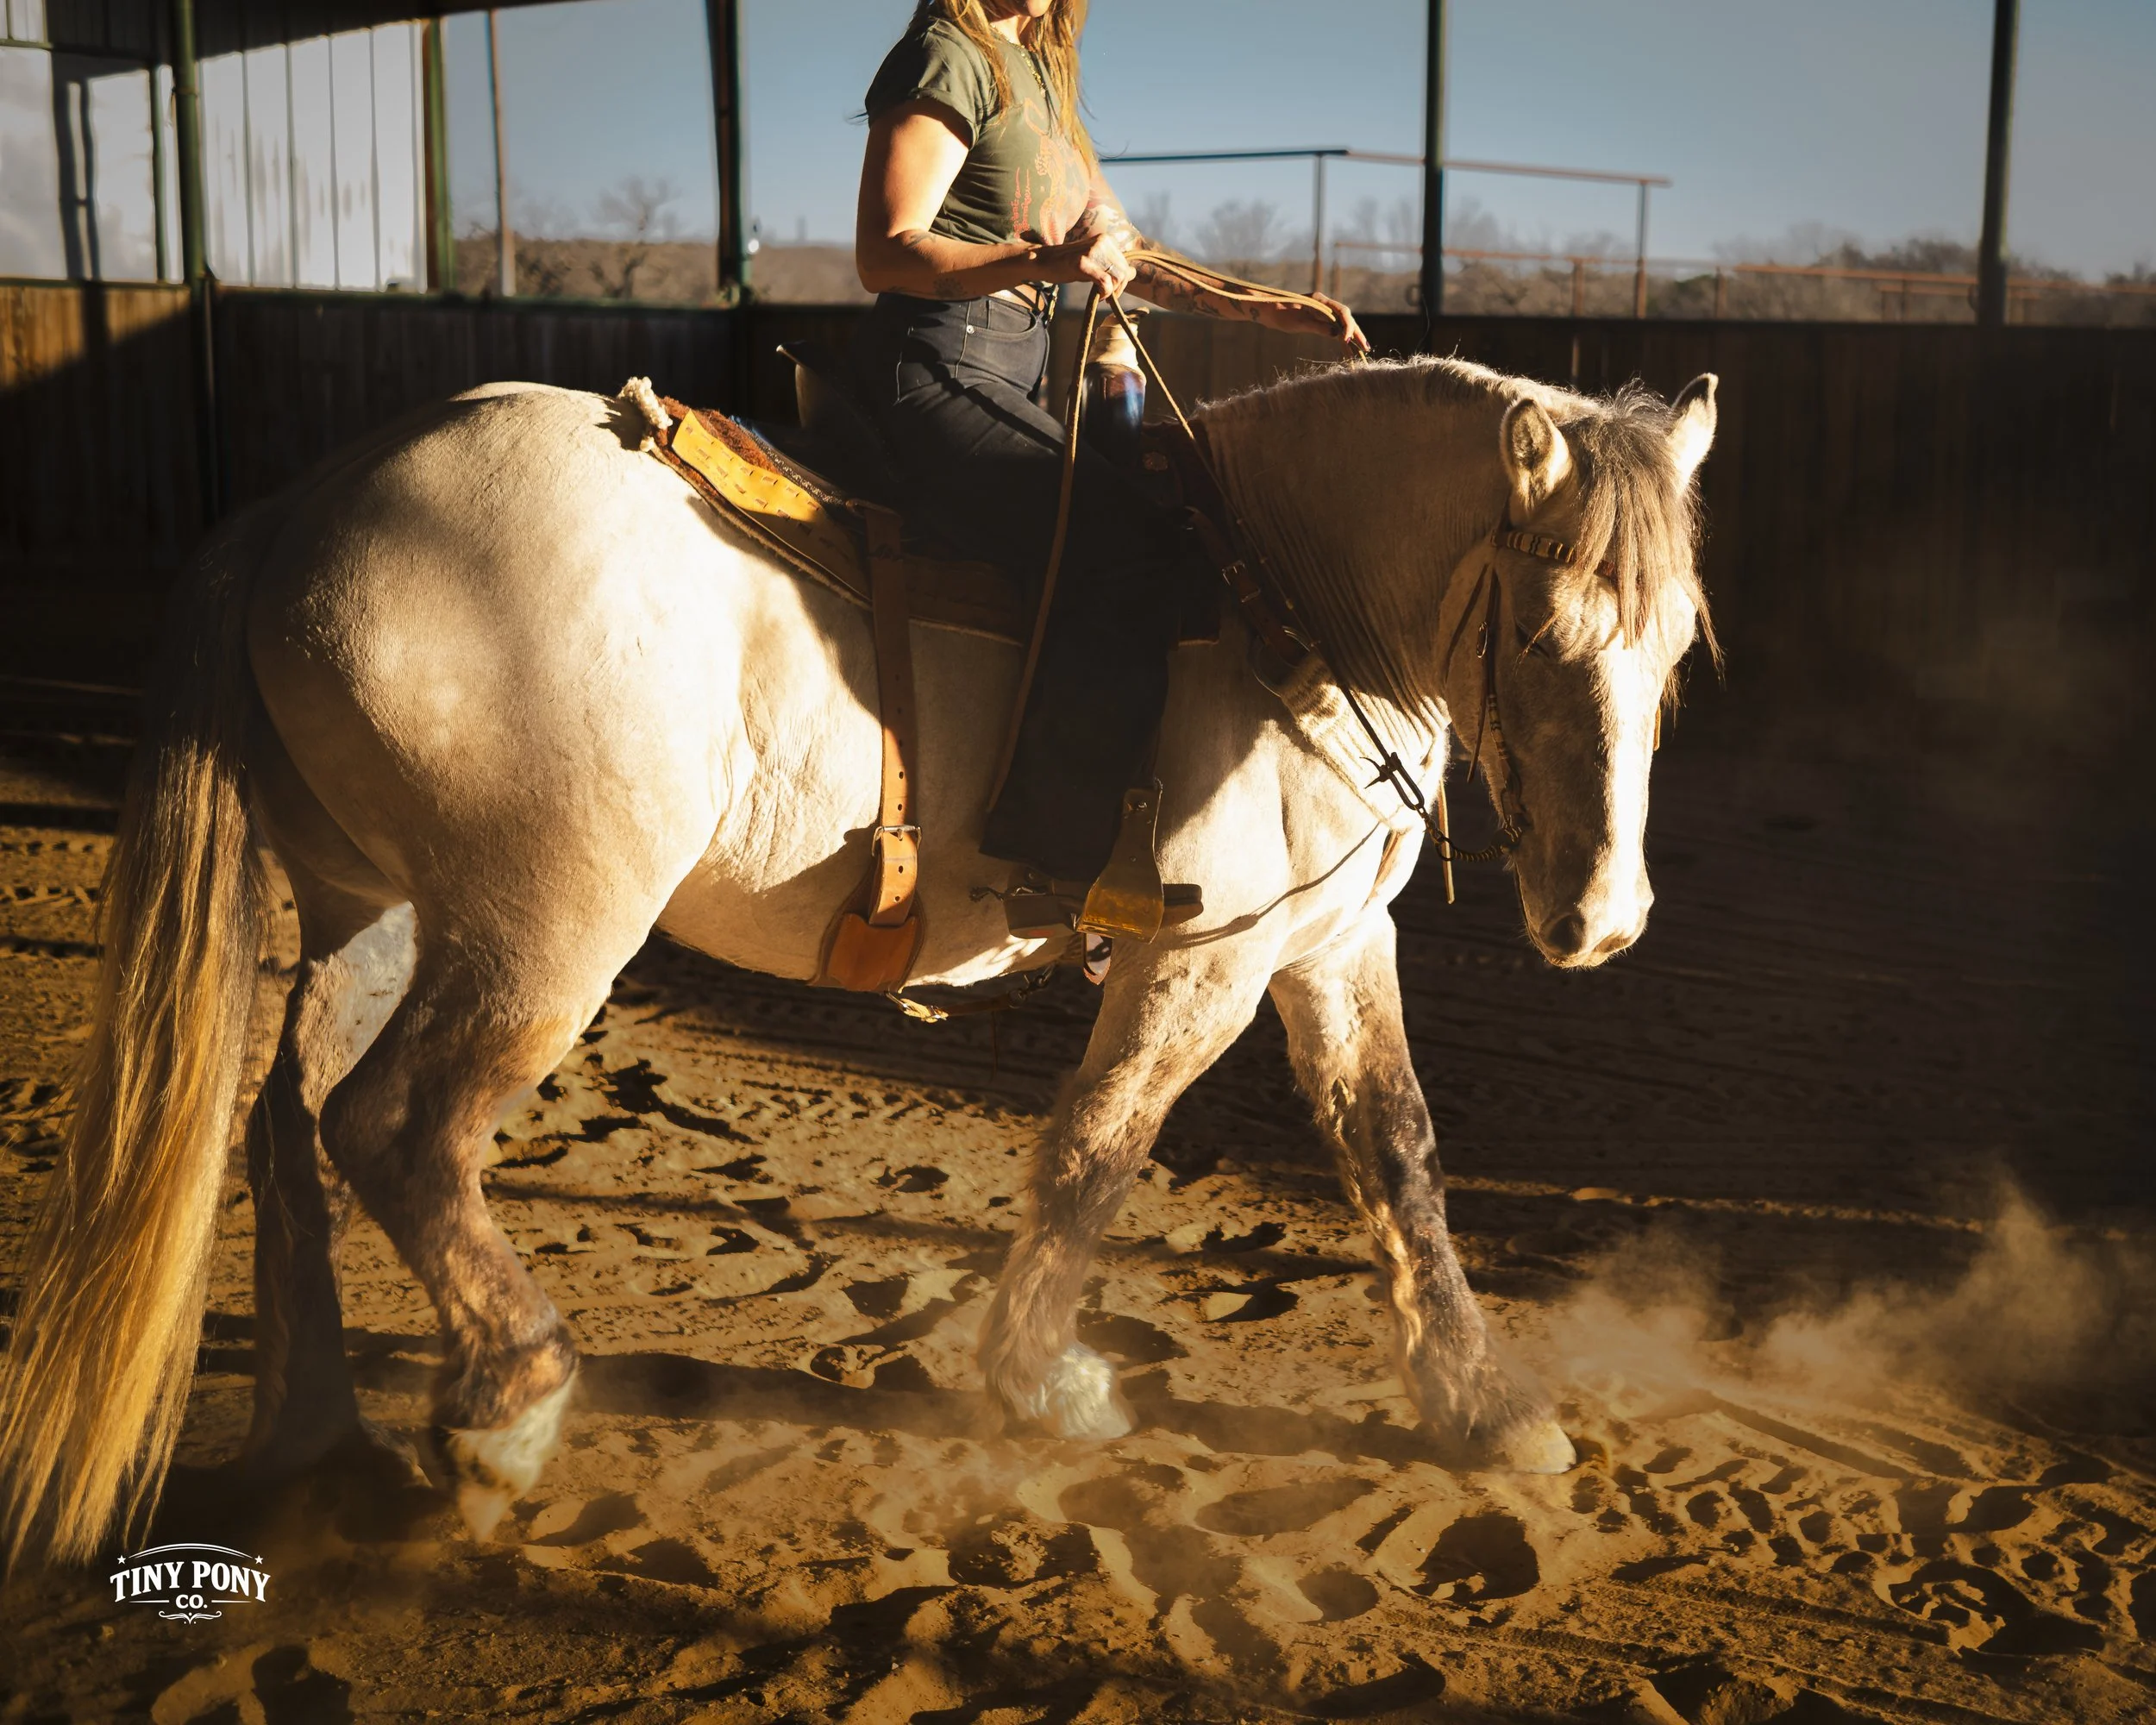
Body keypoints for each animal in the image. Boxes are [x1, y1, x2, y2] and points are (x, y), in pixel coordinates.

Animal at [0, 353, 1716, 1564]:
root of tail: (308, 503)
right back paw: (509, 1405)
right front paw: (1038, 1382)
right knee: (398, 1130)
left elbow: (1397, 1154)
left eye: (1677, 649)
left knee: (286, 1121)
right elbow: (1102, 1147)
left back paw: (311, 1428)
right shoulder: (1203, 961)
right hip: (539, 927)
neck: (1280, 606)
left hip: (368, 907)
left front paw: (1481, 1406)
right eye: (1544, 633)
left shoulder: (1330, 939)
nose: (1605, 921)